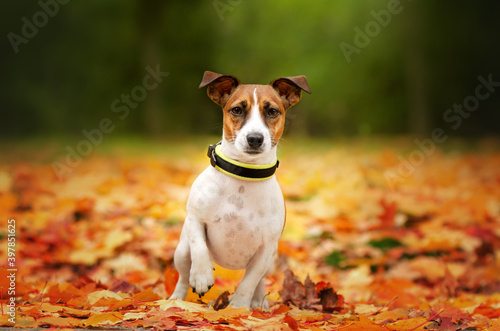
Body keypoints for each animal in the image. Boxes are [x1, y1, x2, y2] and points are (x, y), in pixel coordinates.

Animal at [170, 71, 310, 310]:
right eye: (237, 110)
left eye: (272, 111)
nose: (255, 138)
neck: (244, 175)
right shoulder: (194, 219)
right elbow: (199, 247)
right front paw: (202, 276)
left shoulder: (265, 248)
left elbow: (249, 281)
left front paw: (237, 307)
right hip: (181, 251)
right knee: (183, 276)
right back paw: (176, 300)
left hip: (271, 261)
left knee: (260, 281)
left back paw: (259, 303)